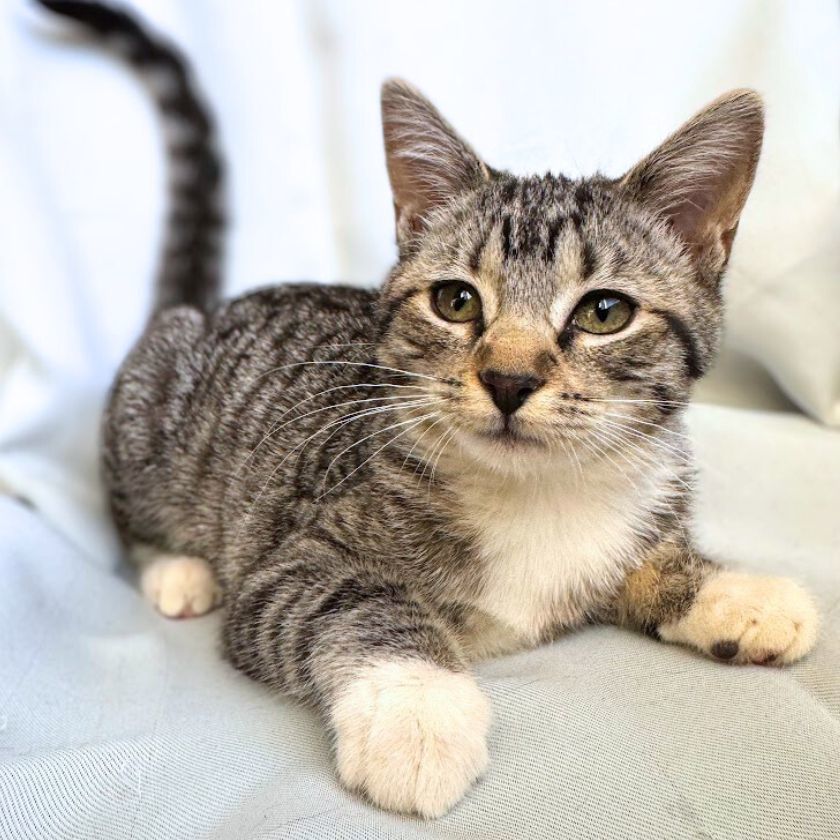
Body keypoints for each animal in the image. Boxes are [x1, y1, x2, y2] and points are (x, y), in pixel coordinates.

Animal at [39, 0, 820, 816]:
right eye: (456, 301)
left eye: (605, 312)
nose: (508, 379)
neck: (536, 495)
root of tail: (200, 309)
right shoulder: (289, 563)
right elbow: (358, 603)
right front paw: (416, 714)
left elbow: (643, 559)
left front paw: (734, 590)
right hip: (149, 410)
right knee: (133, 513)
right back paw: (178, 569)